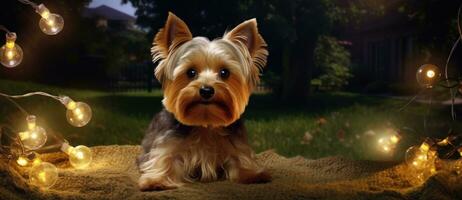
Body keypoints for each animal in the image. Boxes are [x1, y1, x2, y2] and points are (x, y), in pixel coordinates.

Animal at [136, 12, 270, 191]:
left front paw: (253, 174)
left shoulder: (236, 145)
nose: (206, 90)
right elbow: (165, 158)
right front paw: (156, 180)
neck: (205, 124)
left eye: (224, 72)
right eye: (191, 72)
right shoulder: (167, 143)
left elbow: (241, 158)